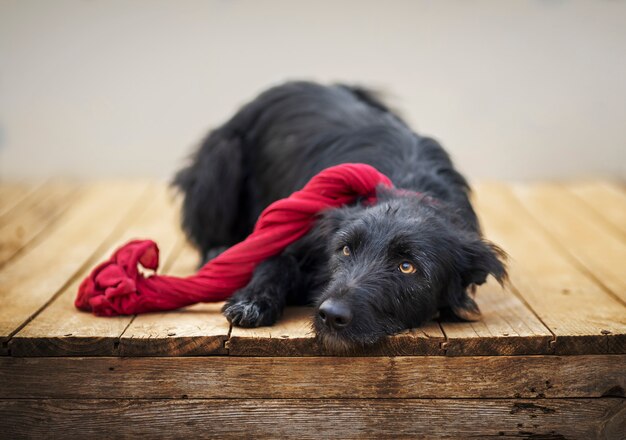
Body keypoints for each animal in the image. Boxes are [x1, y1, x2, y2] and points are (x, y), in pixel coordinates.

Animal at [173, 81, 504, 350]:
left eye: (407, 267)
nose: (331, 315)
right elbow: (275, 260)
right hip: (222, 158)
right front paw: (252, 300)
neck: (410, 188)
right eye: (345, 249)